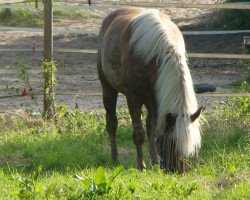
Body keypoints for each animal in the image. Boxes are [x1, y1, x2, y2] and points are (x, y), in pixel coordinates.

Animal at [96, 6, 202, 172]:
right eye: (173, 143)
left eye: (192, 148)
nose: (180, 172)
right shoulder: (133, 98)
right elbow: (138, 133)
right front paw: (141, 165)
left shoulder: (156, 101)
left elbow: (152, 131)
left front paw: (156, 162)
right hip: (108, 89)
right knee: (112, 123)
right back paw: (115, 159)